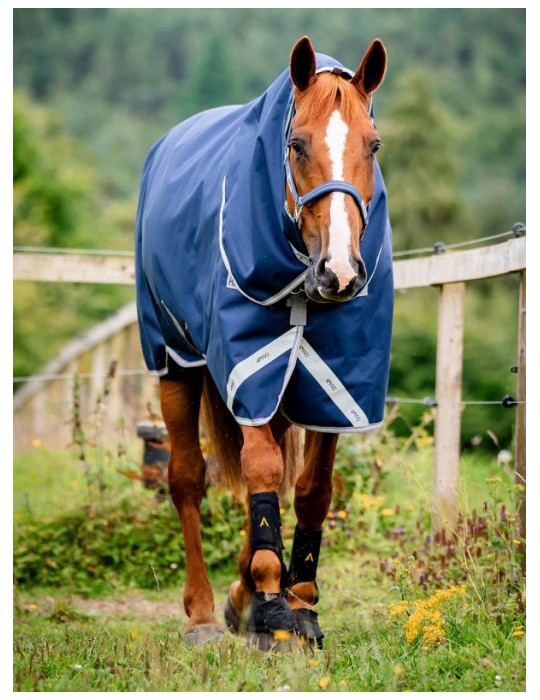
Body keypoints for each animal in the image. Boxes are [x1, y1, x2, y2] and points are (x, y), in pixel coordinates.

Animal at [135, 36, 393, 650]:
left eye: (373, 146)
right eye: (296, 144)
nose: (341, 272)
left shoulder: (336, 385)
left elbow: (311, 488)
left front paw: (298, 599)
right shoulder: (248, 369)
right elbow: (259, 471)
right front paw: (273, 601)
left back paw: (239, 595)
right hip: (176, 361)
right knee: (187, 478)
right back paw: (204, 612)